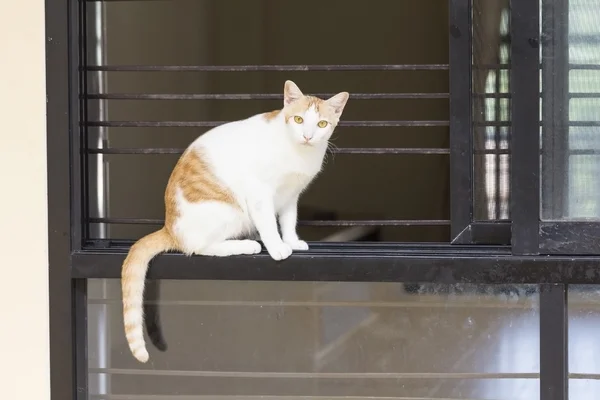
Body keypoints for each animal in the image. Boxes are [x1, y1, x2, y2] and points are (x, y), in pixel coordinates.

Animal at [122, 79, 350, 364]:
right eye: (298, 119)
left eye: (321, 124)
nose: (308, 135)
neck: (298, 153)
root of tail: (169, 227)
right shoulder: (259, 192)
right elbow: (268, 223)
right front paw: (277, 247)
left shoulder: (291, 195)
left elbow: (288, 220)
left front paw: (292, 241)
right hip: (229, 211)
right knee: (199, 247)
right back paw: (247, 245)